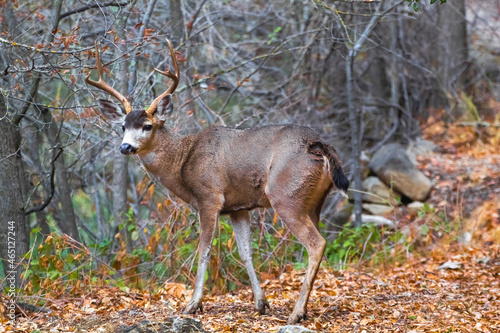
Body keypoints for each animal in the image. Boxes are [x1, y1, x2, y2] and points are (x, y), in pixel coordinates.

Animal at [86, 39, 350, 324]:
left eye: (147, 125)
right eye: (122, 126)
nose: (125, 147)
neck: (183, 161)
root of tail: (319, 146)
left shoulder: (209, 197)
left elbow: (204, 251)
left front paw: (192, 304)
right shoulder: (238, 207)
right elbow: (246, 252)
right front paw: (260, 303)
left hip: (285, 195)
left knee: (317, 243)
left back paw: (296, 313)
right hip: (313, 202)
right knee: (318, 241)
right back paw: (304, 309)